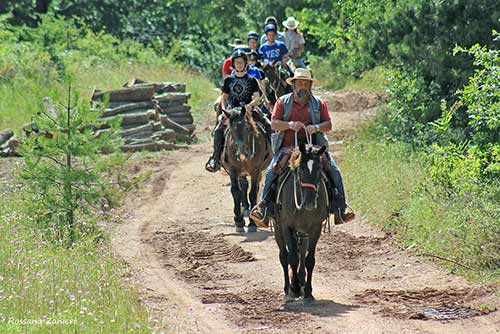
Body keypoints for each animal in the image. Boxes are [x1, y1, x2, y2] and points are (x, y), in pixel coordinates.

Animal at [272, 142, 330, 304]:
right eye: (302, 169)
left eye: (319, 169)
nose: (309, 202)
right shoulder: (287, 227)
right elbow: (292, 258)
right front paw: (295, 288)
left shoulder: (315, 228)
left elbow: (309, 260)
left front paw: (308, 291)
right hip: (278, 229)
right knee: (284, 256)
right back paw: (288, 288)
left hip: (303, 233)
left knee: (302, 253)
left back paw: (301, 281)